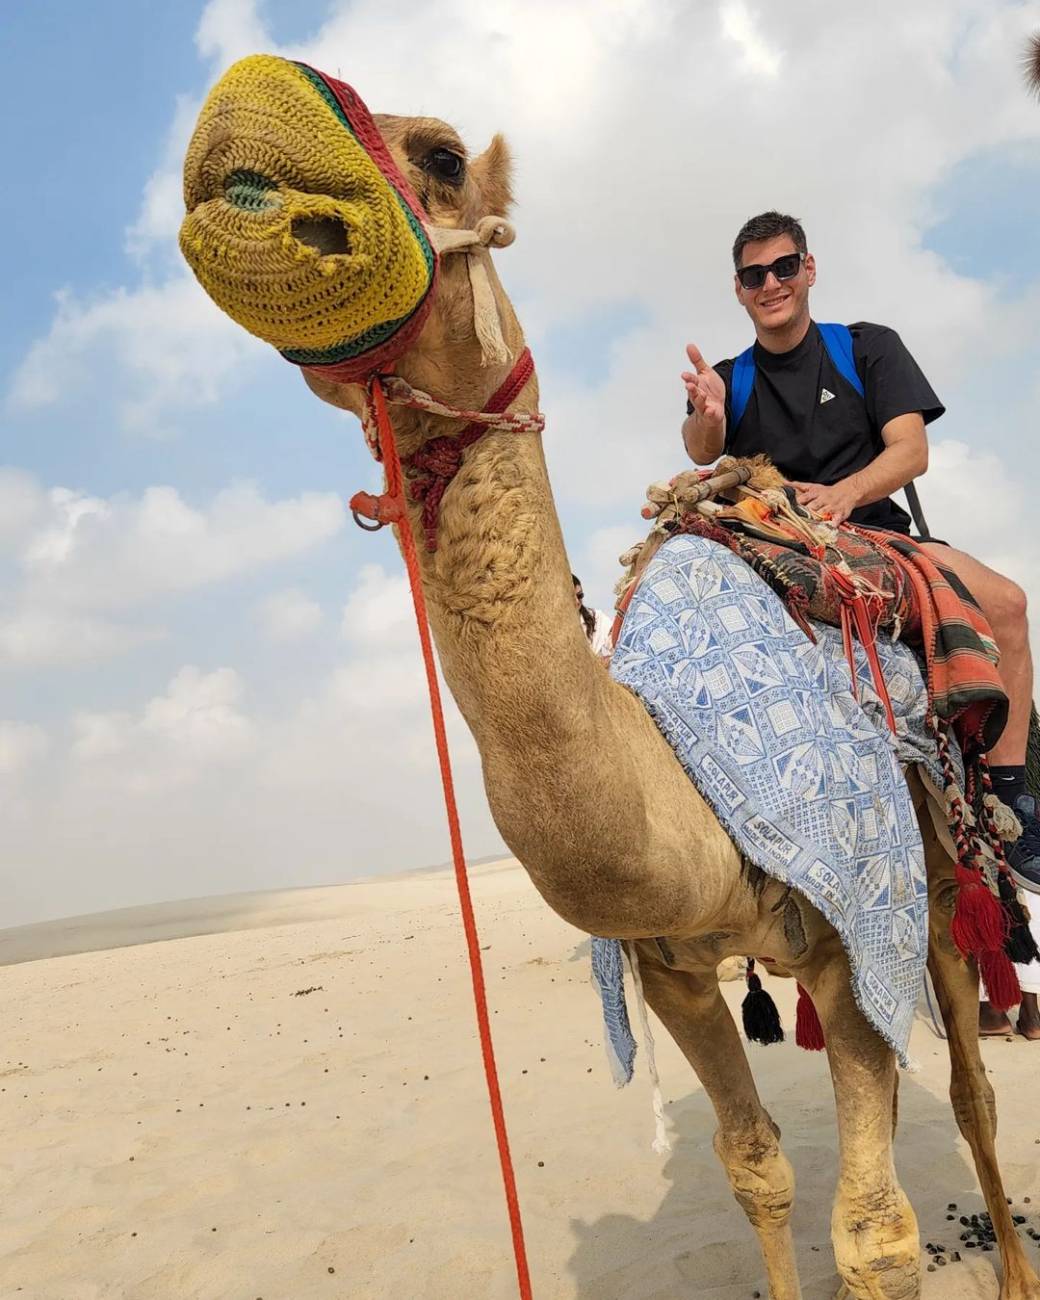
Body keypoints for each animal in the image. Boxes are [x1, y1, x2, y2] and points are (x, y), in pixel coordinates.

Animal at [179, 55, 1040, 1300]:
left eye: (442, 156)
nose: (239, 115)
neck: (677, 774)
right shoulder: (667, 968)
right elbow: (754, 1169)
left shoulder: (855, 926)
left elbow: (874, 1231)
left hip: (938, 882)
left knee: (972, 1088)